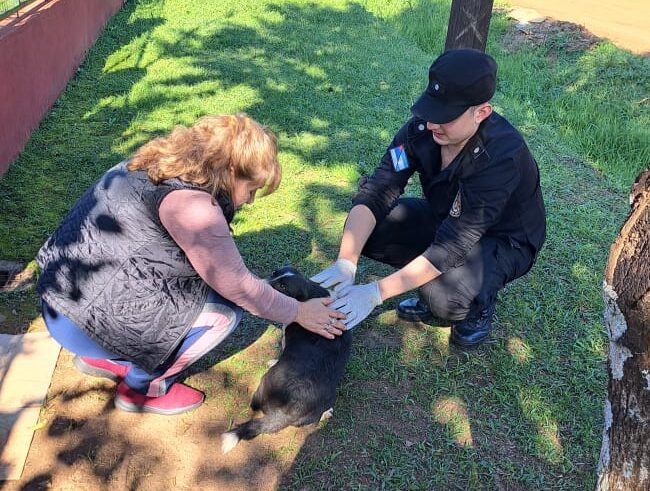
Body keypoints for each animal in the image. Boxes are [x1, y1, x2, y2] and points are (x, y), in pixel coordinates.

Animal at [220, 266, 352, 454]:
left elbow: (281, 350)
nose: (257, 288)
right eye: (274, 273)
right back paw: (326, 413)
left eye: (283, 287)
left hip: (264, 383)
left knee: (254, 404)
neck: (311, 292)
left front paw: (274, 360)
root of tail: (291, 410)